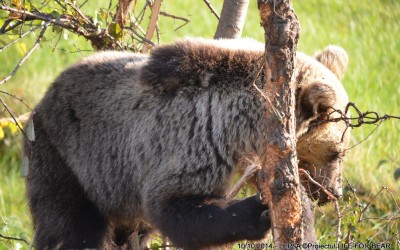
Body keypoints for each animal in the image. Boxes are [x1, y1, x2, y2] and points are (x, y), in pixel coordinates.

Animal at [25, 38, 348, 249]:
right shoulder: (194, 140)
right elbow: (174, 206)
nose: (333, 192)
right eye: (337, 153)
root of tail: (42, 99)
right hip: (68, 159)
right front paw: (257, 212)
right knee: (69, 226)